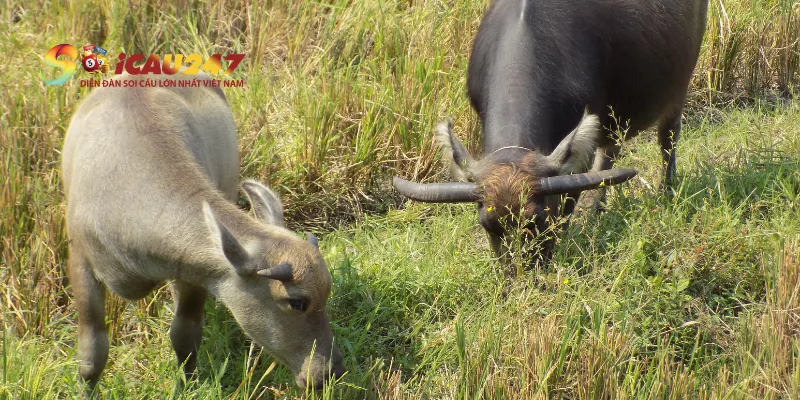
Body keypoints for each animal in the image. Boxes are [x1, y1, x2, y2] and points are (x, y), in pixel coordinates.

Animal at [392, 0, 708, 270]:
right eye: (488, 225)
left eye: (539, 220)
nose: (520, 275)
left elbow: (569, 198)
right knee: (610, 154)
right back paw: (597, 209)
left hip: (678, 88)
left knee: (668, 139)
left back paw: (667, 191)